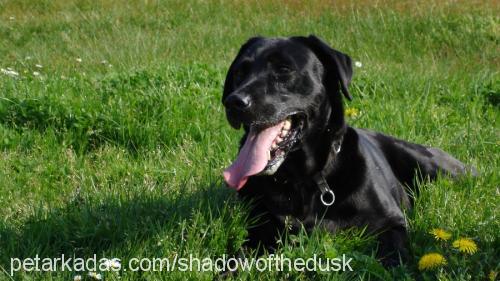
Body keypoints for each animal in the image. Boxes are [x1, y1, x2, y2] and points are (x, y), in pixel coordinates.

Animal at [221, 35, 470, 264]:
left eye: (283, 70)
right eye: (240, 72)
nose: (234, 101)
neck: (305, 180)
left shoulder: (391, 222)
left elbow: (392, 254)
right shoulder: (262, 226)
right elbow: (241, 255)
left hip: (430, 166)